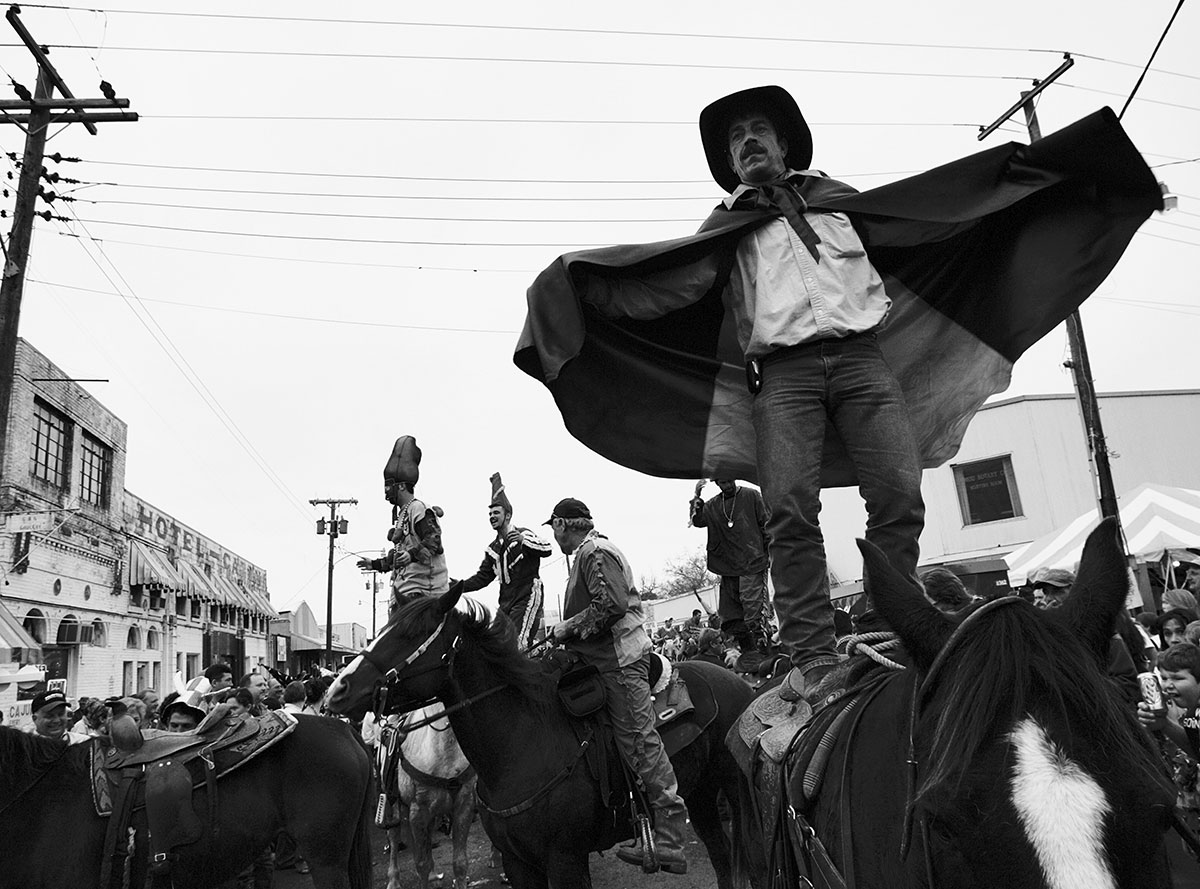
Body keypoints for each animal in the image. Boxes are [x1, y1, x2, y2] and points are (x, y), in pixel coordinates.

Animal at [374, 705, 482, 883]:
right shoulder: (418, 811)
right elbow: (421, 865)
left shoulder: (464, 805)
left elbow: (460, 863)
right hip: (391, 806)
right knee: (394, 837)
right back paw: (394, 880)